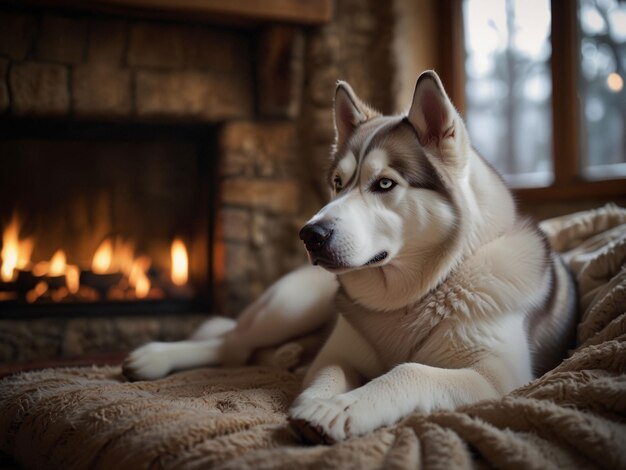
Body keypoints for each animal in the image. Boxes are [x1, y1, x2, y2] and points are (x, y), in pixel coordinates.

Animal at [124, 70, 576, 444]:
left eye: (384, 184)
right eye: (338, 183)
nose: (310, 235)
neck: (412, 298)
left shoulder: (497, 378)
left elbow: (409, 371)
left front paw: (341, 408)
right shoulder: (339, 351)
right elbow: (330, 371)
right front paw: (323, 401)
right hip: (292, 306)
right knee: (232, 343)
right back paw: (157, 357)